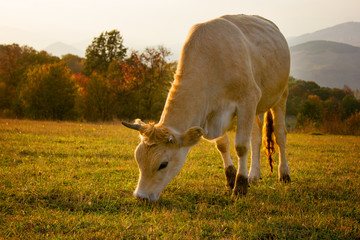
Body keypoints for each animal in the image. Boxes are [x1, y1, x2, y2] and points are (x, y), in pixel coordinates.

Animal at [122, 14, 292, 202]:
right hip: (256, 107)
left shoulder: (247, 98)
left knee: (280, 134)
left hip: (281, 94)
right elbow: (222, 145)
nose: (141, 196)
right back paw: (254, 175)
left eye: (163, 164)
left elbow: (241, 146)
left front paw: (240, 185)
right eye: (138, 159)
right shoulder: (214, 112)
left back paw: (284, 174)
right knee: (256, 136)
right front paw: (231, 177)